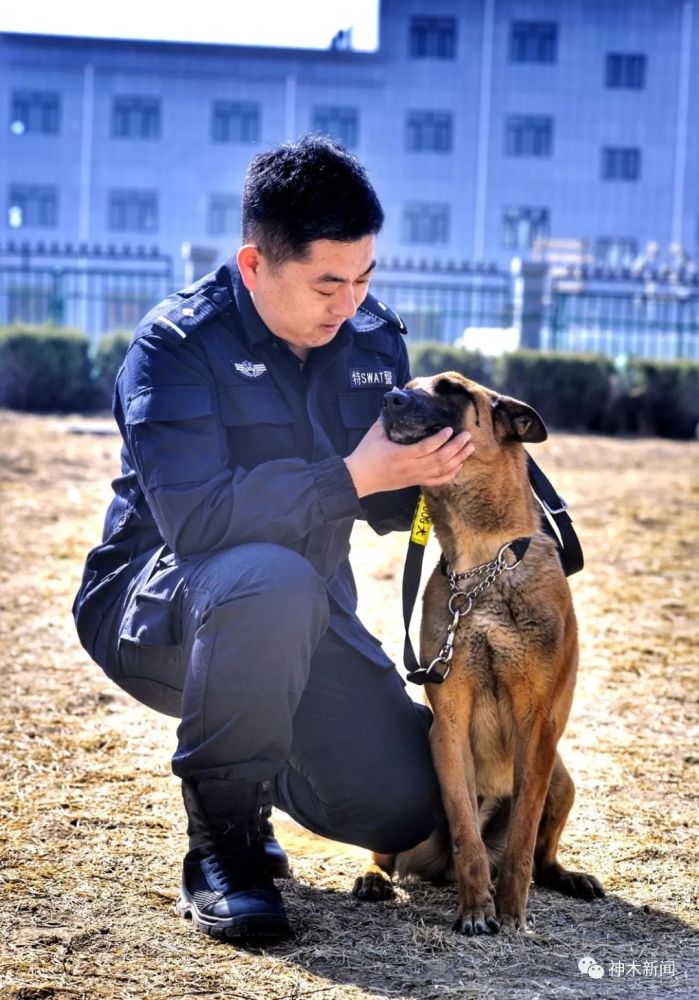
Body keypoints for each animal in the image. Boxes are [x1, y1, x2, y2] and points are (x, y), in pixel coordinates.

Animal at [352, 372, 604, 932]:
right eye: (409, 384)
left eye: (451, 389)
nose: (388, 399)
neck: (484, 566)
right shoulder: (447, 726)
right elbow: (467, 834)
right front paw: (475, 910)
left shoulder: (538, 728)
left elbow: (522, 843)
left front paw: (510, 912)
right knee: (391, 853)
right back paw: (376, 878)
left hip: (562, 780)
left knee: (543, 855)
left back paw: (568, 878)